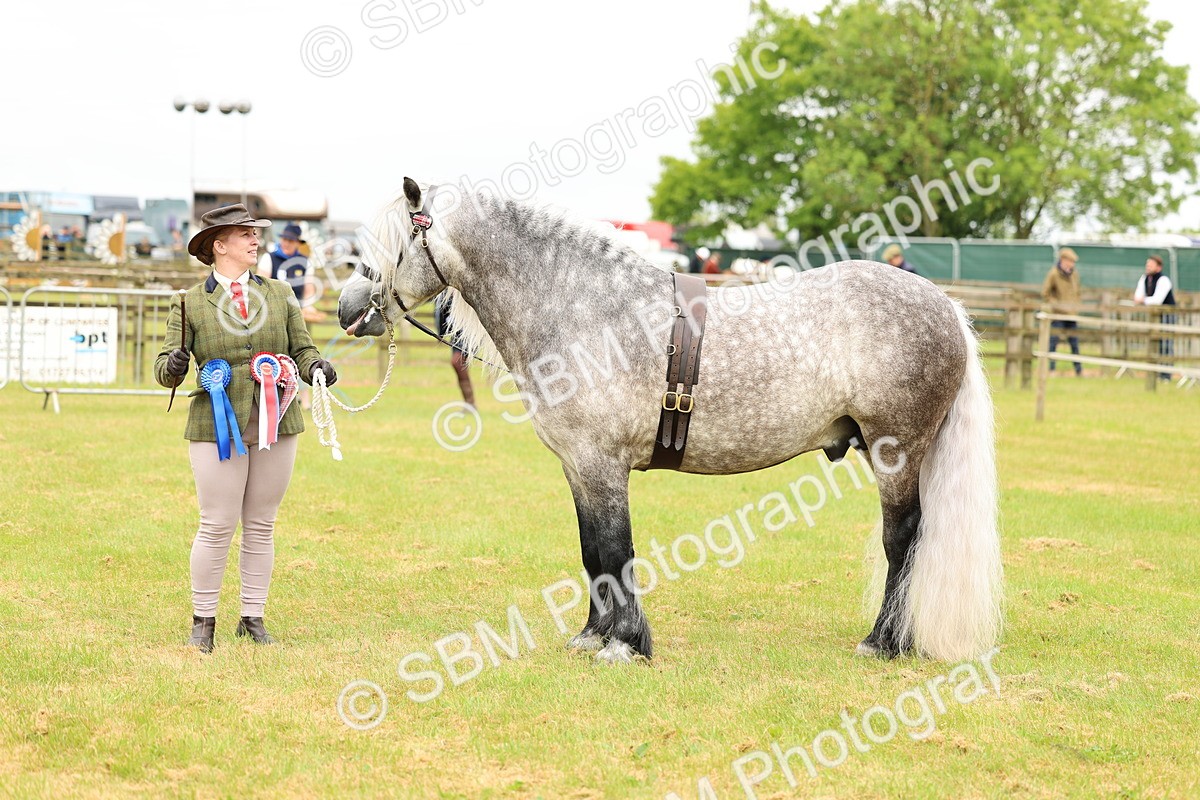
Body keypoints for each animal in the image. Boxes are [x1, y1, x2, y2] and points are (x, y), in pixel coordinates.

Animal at [338, 177, 1002, 665]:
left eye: (391, 246)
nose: (347, 309)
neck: (586, 308)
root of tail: (943, 304)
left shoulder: (602, 464)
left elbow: (616, 548)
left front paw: (625, 646)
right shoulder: (580, 468)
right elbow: (594, 552)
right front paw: (593, 635)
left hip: (896, 450)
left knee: (903, 540)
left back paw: (884, 643)